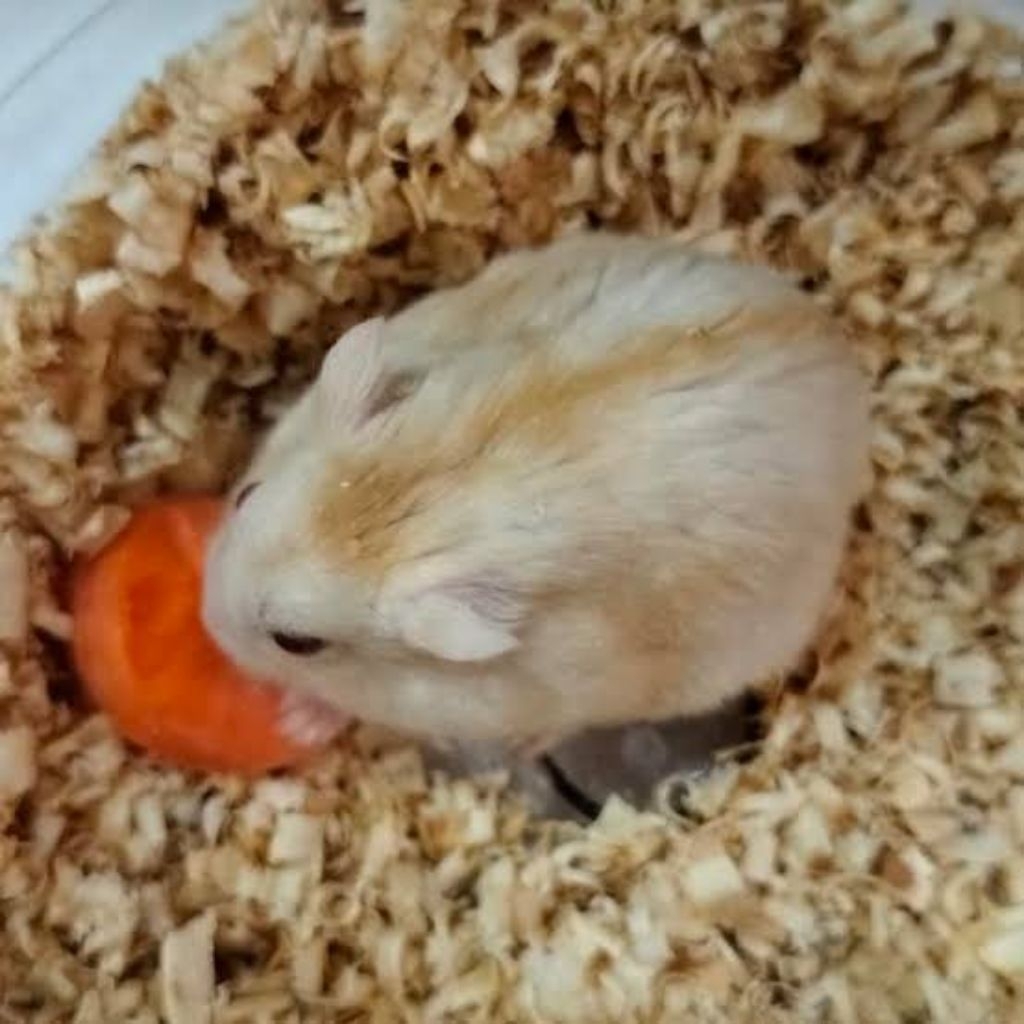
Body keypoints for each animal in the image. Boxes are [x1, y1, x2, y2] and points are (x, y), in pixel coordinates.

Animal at [201, 232, 871, 753]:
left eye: (297, 642)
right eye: (244, 496)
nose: (206, 625)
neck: (416, 500)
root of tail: (841, 357)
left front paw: (299, 720)